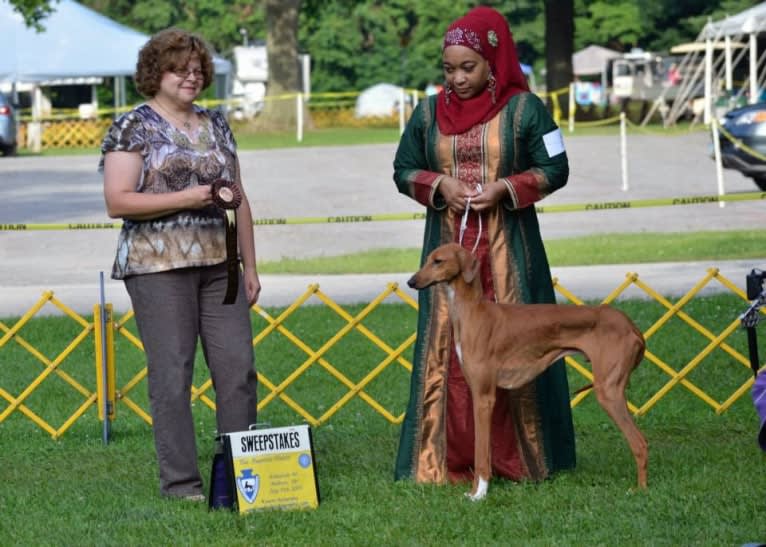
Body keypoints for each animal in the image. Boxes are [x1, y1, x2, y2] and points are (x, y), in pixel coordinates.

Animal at [408, 244, 648, 500]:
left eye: (438, 261)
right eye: (428, 259)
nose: (411, 282)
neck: (474, 311)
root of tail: (631, 326)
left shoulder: (484, 398)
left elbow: (481, 452)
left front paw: (479, 494)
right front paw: (475, 492)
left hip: (608, 392)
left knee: (640, 443)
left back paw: (640, 490)